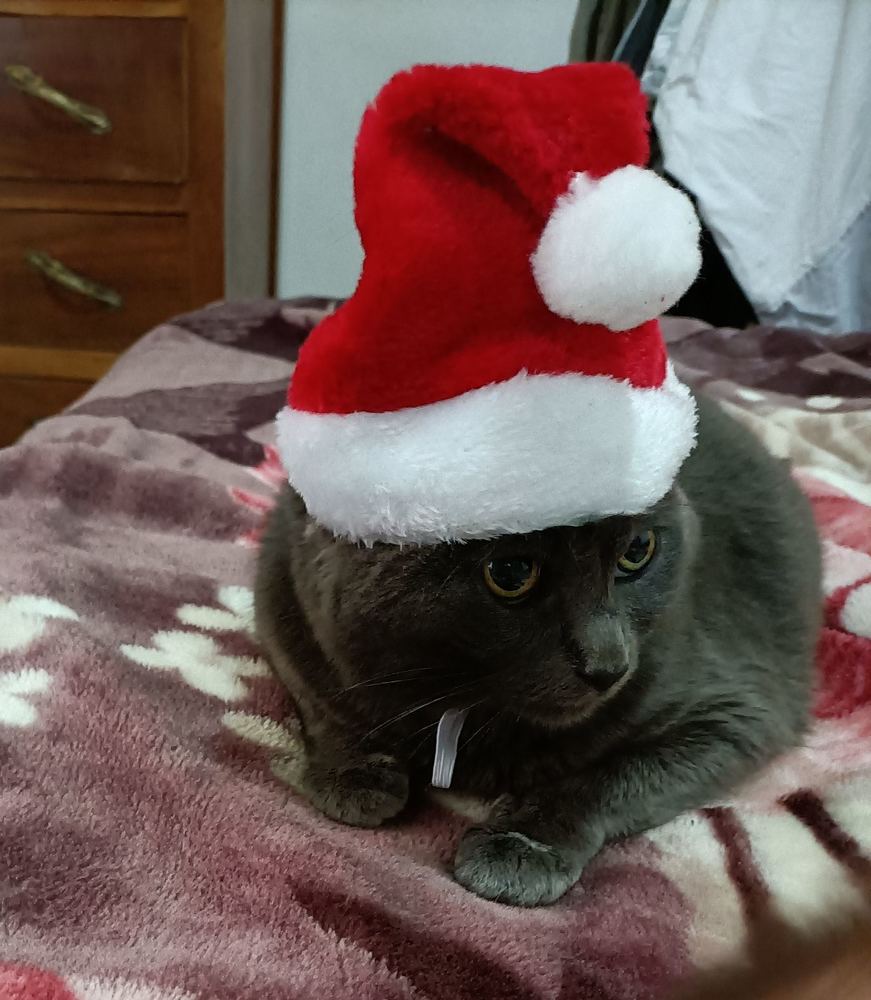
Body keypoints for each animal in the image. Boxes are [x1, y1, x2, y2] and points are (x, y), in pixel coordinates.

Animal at [255, 393, 821, 906]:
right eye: (510, 572)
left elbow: (608, 777)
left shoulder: (735, 709)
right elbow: (323, 702)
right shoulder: (283, 607)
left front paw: (521, 846)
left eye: (638, 550)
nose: (609, 664)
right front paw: (356, 772)